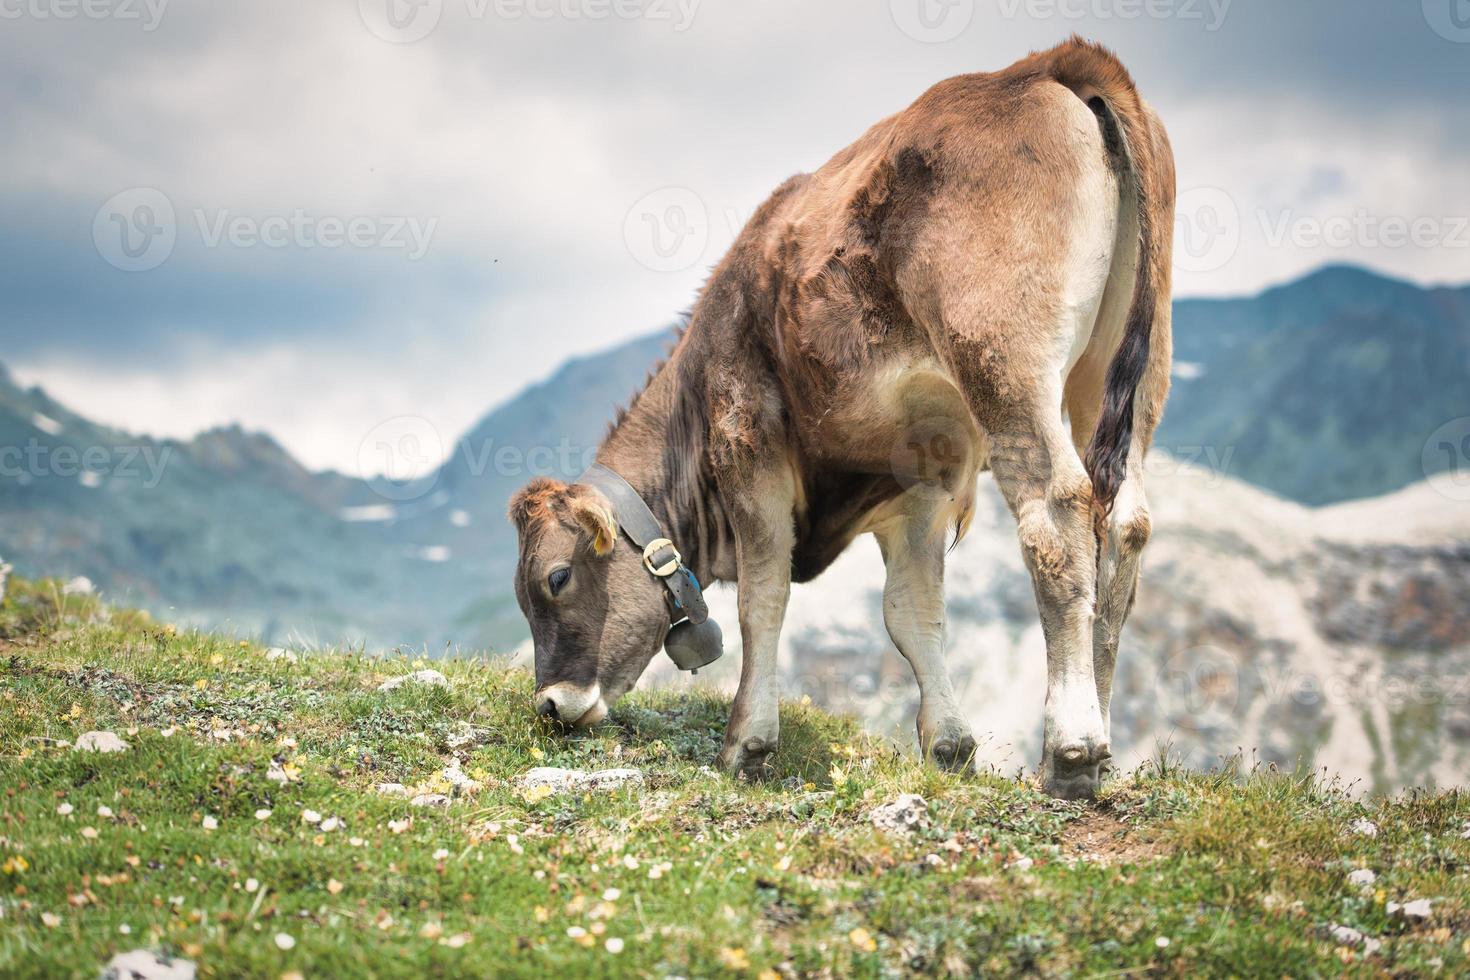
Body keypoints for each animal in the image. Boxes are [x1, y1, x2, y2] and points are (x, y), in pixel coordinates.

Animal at [511, 40, 1176, 805]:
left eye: (556, 579)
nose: (551, 705)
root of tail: (1046, 62)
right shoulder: (922, 478)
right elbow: (912, 612)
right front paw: (949, 746)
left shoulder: (748, 441)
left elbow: (763, 597)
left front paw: (746, 743)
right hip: (1130, 371)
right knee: (1123, 524)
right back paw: (1100, 741)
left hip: (1004, 356)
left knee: (1058, 515)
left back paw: (1071, 751)